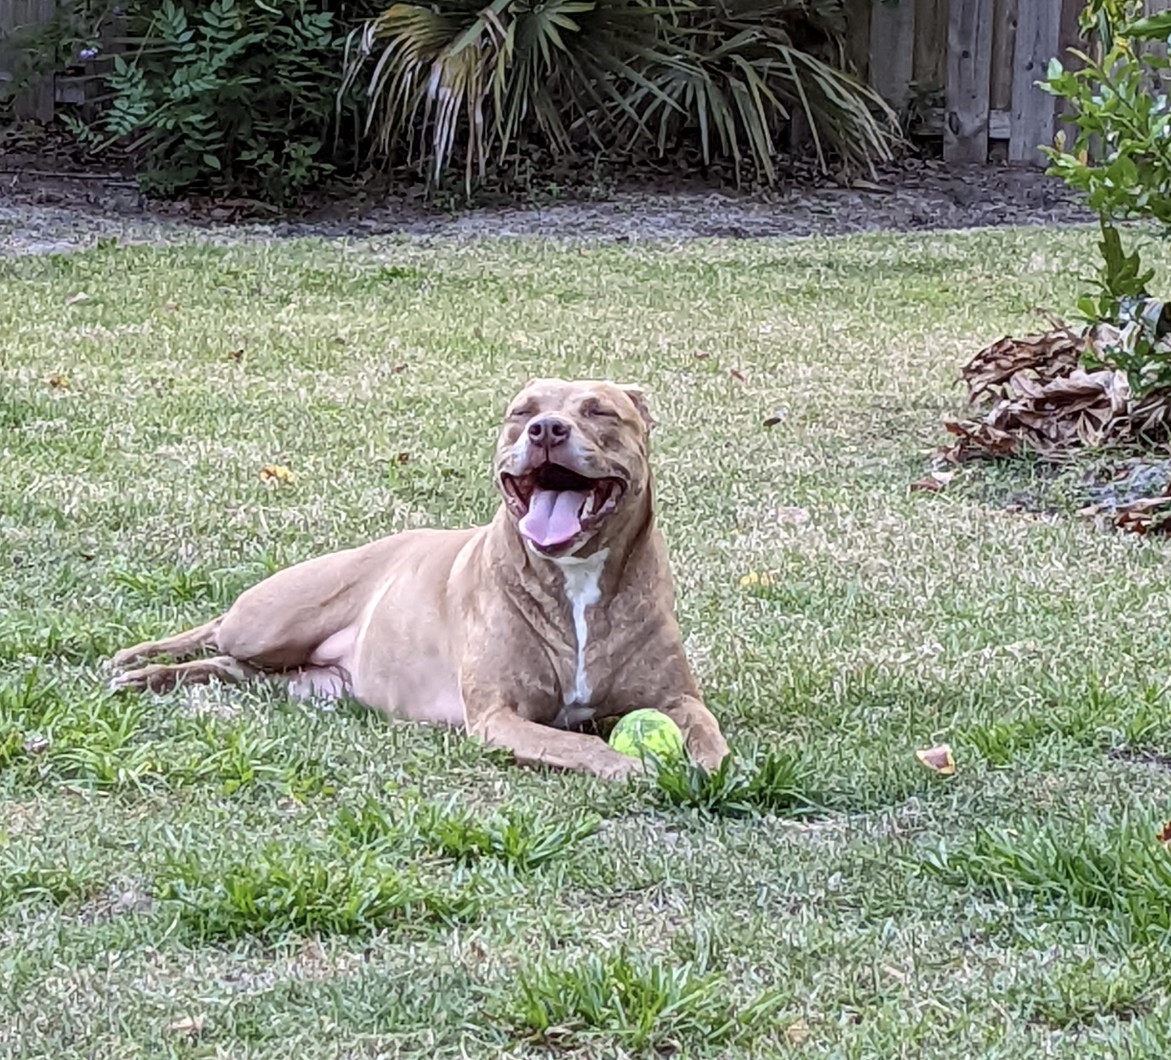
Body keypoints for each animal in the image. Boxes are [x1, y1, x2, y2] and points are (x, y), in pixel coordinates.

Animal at [111, 379, 730, 777]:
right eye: (521, 411)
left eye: (600, 411)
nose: (546, 429)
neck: (575, 578)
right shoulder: (498, 717)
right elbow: (583, 748)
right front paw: (634, 765)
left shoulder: (677, 697)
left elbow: (710, 733)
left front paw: (714, 765)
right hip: (272, 619)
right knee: (218, 629)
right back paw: (137, 663)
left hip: (305, 681)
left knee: (228, 667)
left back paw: (151, 679)